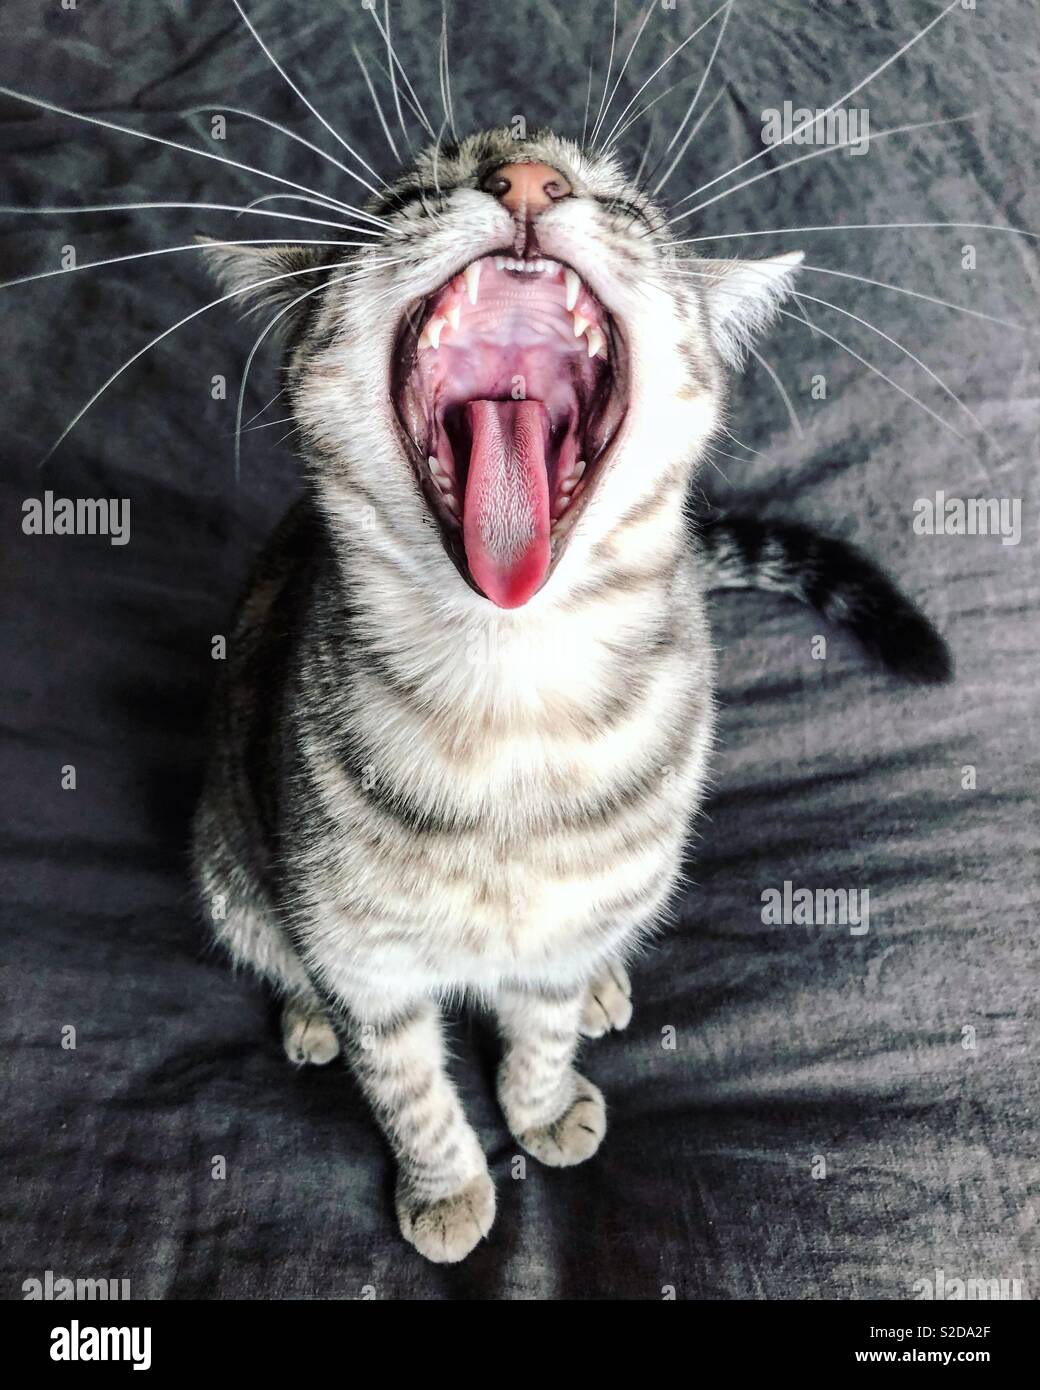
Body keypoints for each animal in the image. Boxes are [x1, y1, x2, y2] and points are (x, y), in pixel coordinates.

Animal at [189, 130, 951, 1262]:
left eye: (617, 201)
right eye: (413, 191)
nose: (523, 180)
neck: (510, 701)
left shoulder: (559, 927)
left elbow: (539, 1030)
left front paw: (541, 1103)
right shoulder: (358, 949)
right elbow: (405, 1082)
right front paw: (447, 1184)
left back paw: (602, 979)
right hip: (227, 857)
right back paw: (308, 1014)